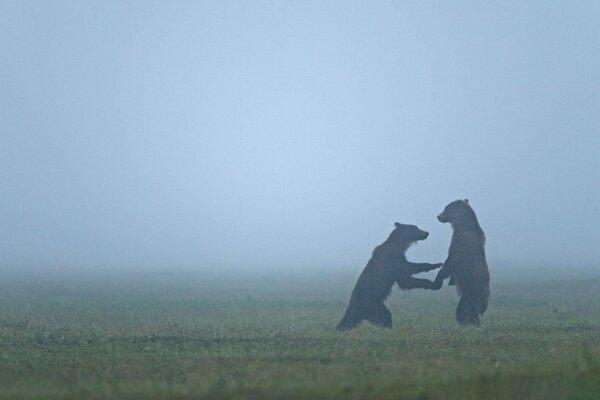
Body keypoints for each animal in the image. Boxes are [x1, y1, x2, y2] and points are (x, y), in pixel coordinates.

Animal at [434, 198, 490, 326]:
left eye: (445, 208)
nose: (438, 216)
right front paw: (451, 281)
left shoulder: (459, 243)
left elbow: (449, 263)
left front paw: (437, 280)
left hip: (471, 290)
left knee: (464, 309)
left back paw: (466, 322)